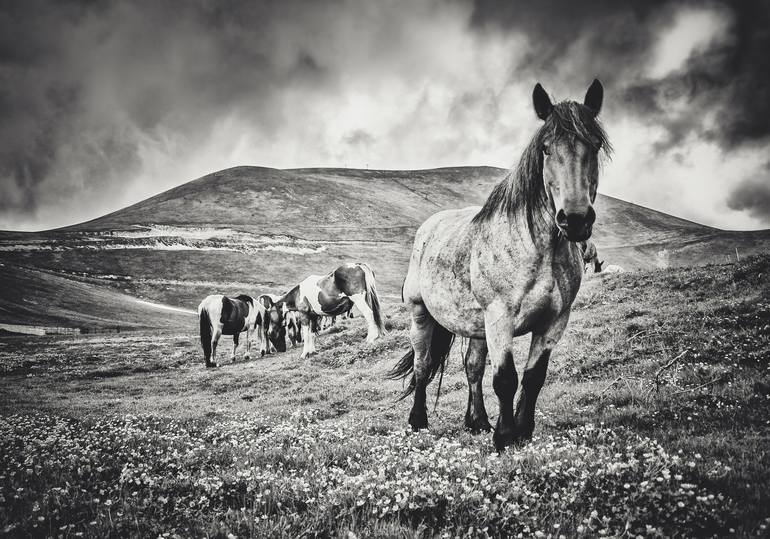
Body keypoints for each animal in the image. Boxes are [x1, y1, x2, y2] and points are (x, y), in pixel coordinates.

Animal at [388, 80, 608, 452]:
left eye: (594, 145)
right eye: (546, 149)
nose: (575, 219)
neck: (539, 249)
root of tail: (428, 227)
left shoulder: (553, 322)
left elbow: (533, 378)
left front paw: (522, 430)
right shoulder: (500, 318)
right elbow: (505, 378)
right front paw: (505, 437)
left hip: (477, 326)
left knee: (472, 368)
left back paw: (477, 421)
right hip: (421, 314)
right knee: (423, 365)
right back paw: (418, 421)